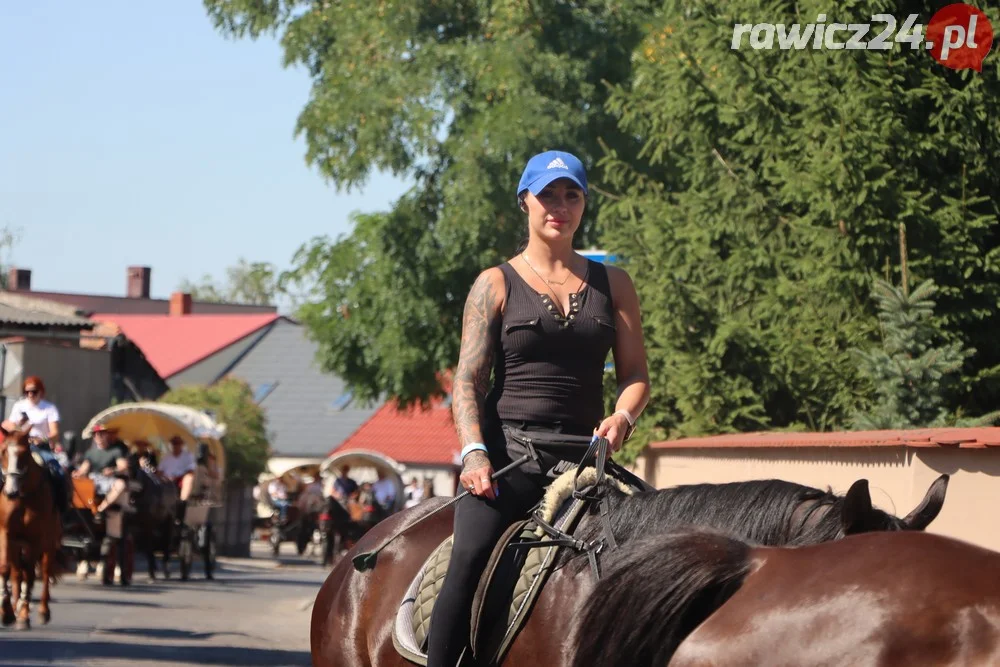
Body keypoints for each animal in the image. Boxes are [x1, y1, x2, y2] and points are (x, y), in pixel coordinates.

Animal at [0, 428, 60, 632]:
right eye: (3, 451)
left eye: (24, 453)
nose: (10, 492)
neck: (23, 495)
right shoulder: (5, 534)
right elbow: (6, 569)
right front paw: (6, 612)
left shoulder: (36, 539)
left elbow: (30, 574)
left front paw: (24, 615)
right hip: (18, 544)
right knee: (17, 573)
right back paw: (15, 606)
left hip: (49, 541)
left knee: (45, 571)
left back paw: (43, 611)